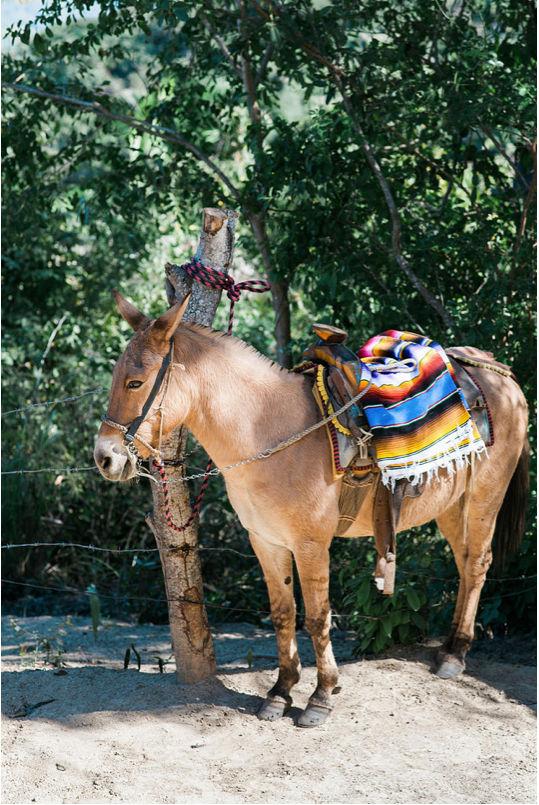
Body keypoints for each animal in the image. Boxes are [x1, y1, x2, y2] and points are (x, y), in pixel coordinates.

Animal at [94, 292, 529, 727]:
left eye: (135, 382)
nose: (104, 459)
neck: (267, 430)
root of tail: (500, 372)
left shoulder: (311, 546)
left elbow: (318, 618)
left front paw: (321, 696)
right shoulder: (266, 542)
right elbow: (282, 613)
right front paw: (280, 691)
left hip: (483, 498)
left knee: (478, 563)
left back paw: (456, 654)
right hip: (451, 507)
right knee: (464, 563)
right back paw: (449, 647)